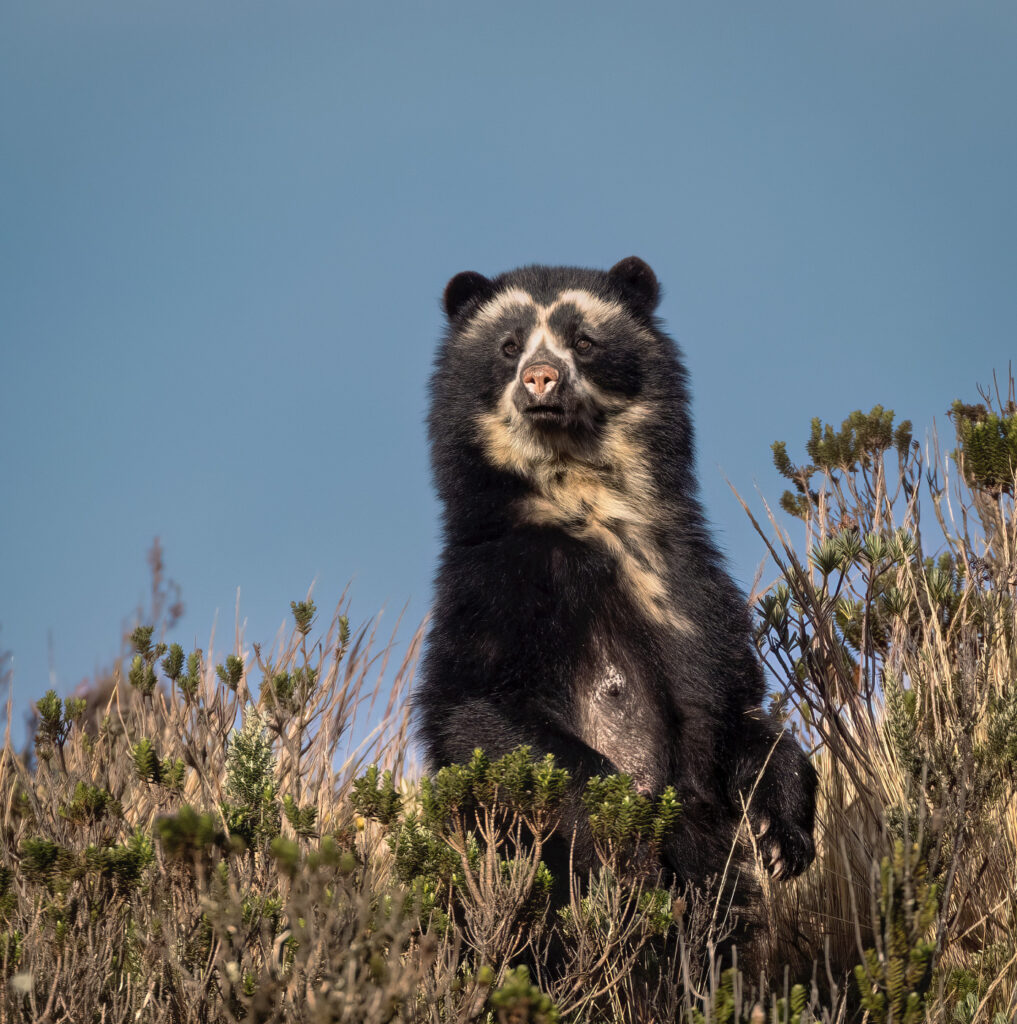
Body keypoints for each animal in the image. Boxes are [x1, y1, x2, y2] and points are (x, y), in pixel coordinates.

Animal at [413, 256, 819, 905]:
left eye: (584, 341)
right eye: (508, 346)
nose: (541, 379)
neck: (586, 500)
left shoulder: (688, 586)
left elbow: (737, 709)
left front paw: (782, 838)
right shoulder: (495, 583)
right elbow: (476, 708)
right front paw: (633, 824)